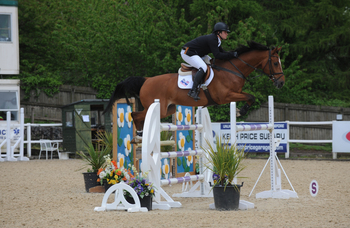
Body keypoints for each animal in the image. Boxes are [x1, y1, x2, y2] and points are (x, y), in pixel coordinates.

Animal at [103, 40, 284, 137]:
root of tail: (146, 80)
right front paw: (240, 111)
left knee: (141, 115)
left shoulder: (235, 93)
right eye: (276, 63)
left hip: (169, 109)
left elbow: (251, 97)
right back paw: (141, 133)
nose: (281, 83)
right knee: (136, 114)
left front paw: (241, 111)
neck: (232, 70)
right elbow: (250, 97)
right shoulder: (225, 96)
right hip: (158, 107)